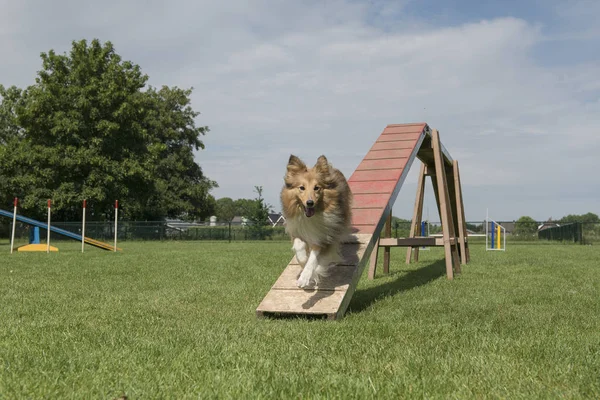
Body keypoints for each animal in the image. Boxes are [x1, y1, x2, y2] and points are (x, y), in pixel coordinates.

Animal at [280, 153, 352, 288]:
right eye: (301, 187)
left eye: (317, 188)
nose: (310, 203)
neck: (311, 217)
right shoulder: (296, 230)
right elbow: (299, 247)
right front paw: (303, 260)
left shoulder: (325, 237)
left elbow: (313, 258)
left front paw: (305, 277)